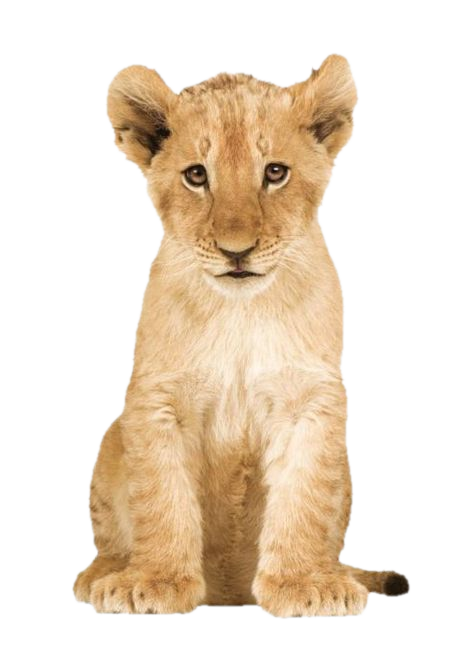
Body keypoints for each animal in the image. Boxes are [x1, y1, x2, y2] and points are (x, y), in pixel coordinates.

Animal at [72, 54, 410, 617]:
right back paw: (105, 574)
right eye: (196, 175)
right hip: (112, 436)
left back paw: (337, 573)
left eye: (274, 172)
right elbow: (159, 495)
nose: (237, 251)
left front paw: (302, 584)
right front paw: (157, 581)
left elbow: (304, 497)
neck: (241, 312)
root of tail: (228, 595)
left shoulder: (309, 400)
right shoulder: (158, 399)